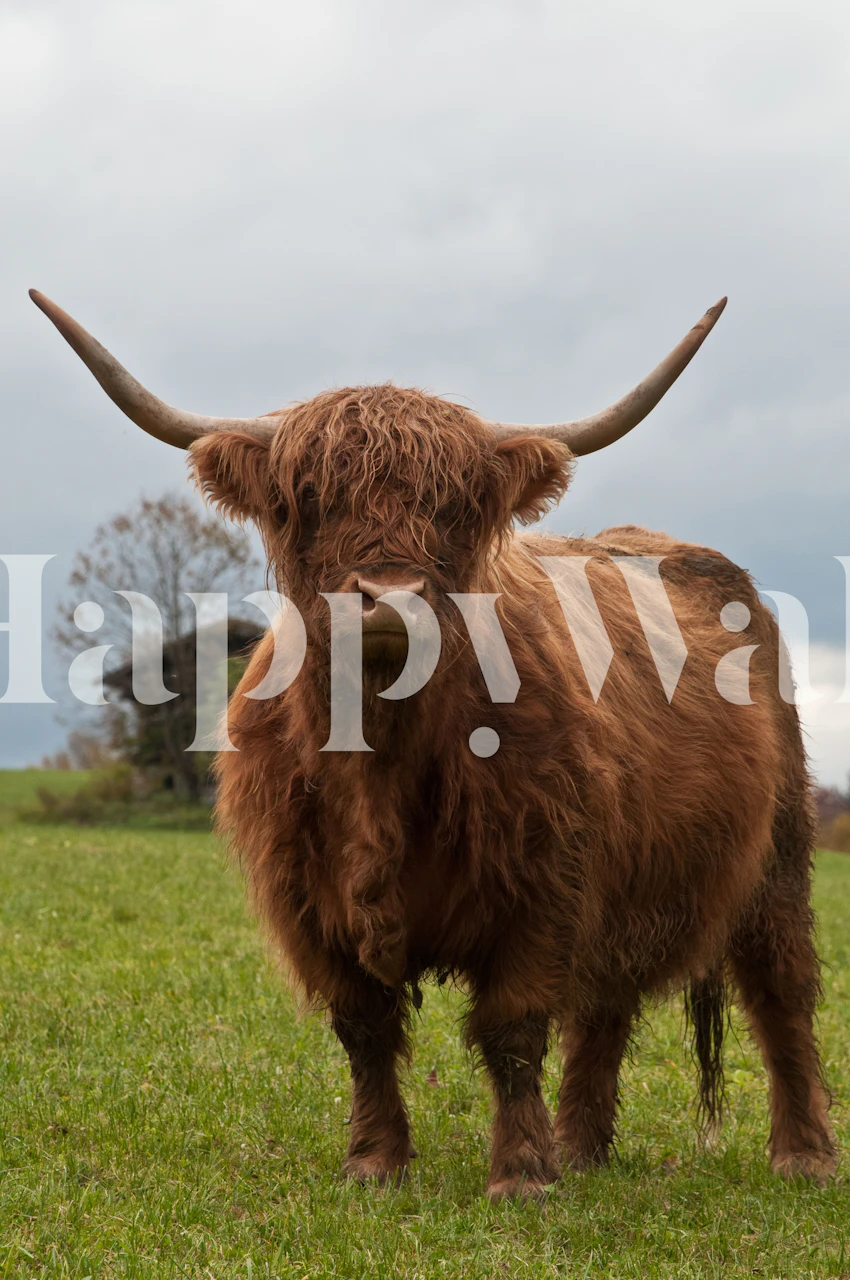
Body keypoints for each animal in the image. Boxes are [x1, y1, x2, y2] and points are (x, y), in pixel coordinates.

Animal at [31, 288, 838, 1198]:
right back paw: (583, 1148)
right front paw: (375, 1163)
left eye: (454, 506)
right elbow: (365, 1030)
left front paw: (520, 1174)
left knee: (780, 995)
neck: (380, 757)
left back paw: (801, 1154)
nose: (388, 596)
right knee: (606, 1007)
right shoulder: (308, 902)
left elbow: (513, 1029)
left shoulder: (544, 883)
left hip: (778, 858)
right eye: (307, 497)